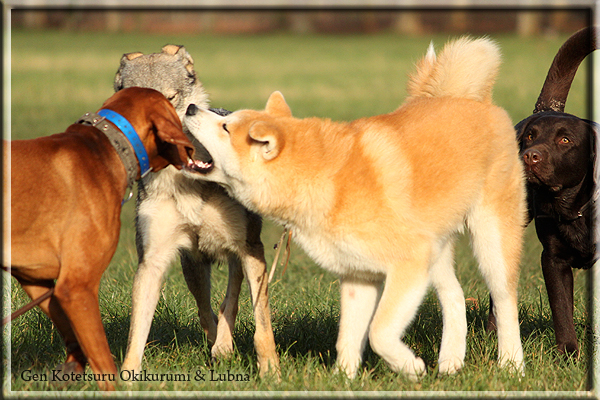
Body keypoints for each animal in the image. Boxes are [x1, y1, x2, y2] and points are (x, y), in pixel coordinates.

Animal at [7, 87, 195, 390]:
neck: (110, 147)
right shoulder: (78, 286)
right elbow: (105, 363)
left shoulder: (39, 281)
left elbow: (72, 333)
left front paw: (72, 365)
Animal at [113, 45, 278, 376]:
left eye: (170, 99)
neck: (188, 183)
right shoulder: (152, 261)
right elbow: (137, 333)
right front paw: (127, 376)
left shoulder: (249, 249)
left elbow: (258, 320)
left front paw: (270, 371)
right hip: (192, 265)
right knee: (205, 309)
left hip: (238, 254)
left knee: (228, 301)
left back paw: (224, 346)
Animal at [182, 37, 524, 378]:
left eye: (225, 126)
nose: (191, 108)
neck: (322, 175)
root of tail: (471, 99)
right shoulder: (359, 276)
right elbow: (348, 338)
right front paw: (343, 379)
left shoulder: (408, 263)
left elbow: (378, 332)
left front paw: (410, 366)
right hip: (436, 249)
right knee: (454, 296)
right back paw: (450, 362)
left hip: (489, 239)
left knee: (505, 300)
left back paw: (512, 364)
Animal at [488, 26, 596, 354]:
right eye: (530, 136)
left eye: (565, 140)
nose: (529, 156)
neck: (572, 207)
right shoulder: (553, 261)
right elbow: (561, 310)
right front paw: (569, 353)